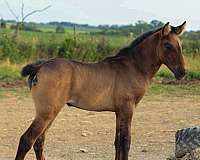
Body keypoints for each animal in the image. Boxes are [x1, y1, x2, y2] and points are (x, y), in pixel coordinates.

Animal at [14, 21, 187, 160]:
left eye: (180, 45)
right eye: (167, 45)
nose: (182, 73)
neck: (133, 66)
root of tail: (40, 66)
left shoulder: (119, 111)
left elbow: (118, 141)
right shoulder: (128, 108)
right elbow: (126, 141)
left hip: (51, 113)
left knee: (39, 141)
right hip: (47, 112)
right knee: (27, 140)